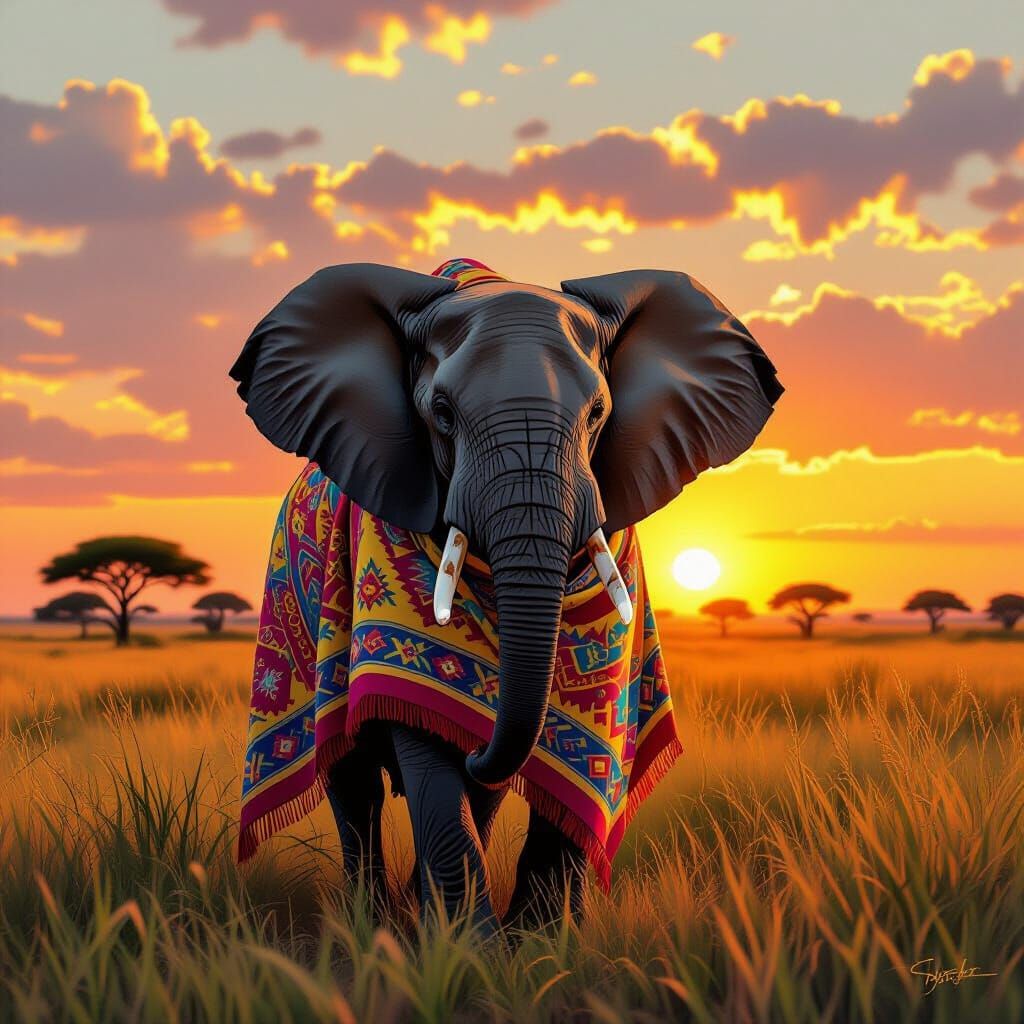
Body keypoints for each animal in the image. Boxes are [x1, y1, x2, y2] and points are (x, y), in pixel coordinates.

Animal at [231, 259, 782, 932]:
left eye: (598, 413)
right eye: (441, 413)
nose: (481, 752)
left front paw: (539, 947)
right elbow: (422, 739)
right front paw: (468, 949)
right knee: (353, 779)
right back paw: (374, 922)